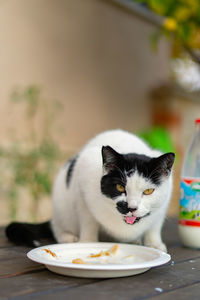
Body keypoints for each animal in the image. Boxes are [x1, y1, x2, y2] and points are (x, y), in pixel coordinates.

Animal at [5, 130, 175, 252]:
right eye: (120, 187)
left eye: (148, 191)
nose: (131, 208)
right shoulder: (82, 178)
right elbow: (88, 220)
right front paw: (87, 242)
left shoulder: (164, 203)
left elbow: (154, 226)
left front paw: (154, 244)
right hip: (61, 205)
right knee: (56, 226)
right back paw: (67, 237)